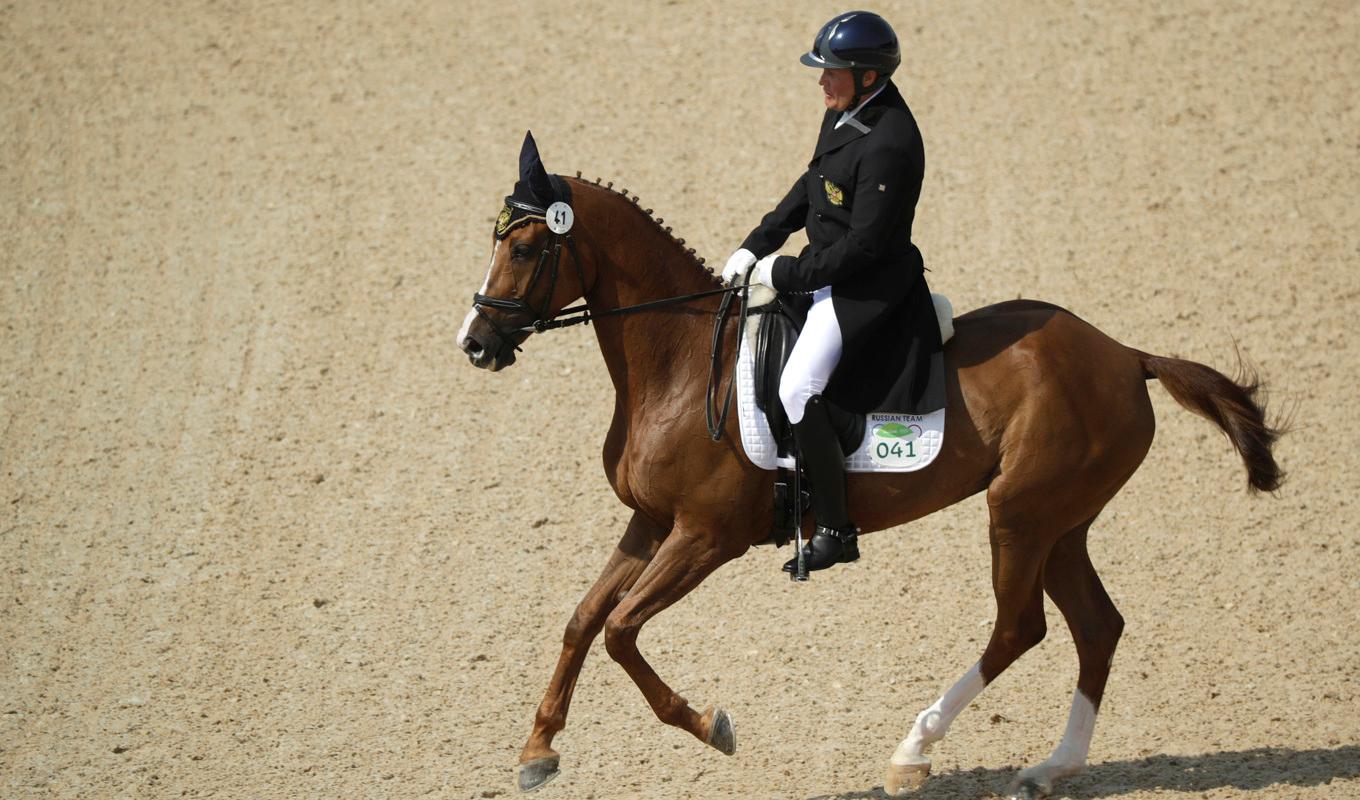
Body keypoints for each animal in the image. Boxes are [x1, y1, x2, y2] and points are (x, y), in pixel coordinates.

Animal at [459, 146, 1283, 794]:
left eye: (526, 250)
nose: (474, 343)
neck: (682, 362)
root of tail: (1124, 355)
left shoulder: (705, 536)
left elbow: (622, 630)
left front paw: (709, 724)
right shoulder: (651, 521)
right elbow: (582, 620)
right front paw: (537, 751)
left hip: (1021, 514)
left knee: (1020, 628)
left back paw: (912, 753)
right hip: (1062, 523)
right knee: (1097, 627)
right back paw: (1052, 769)